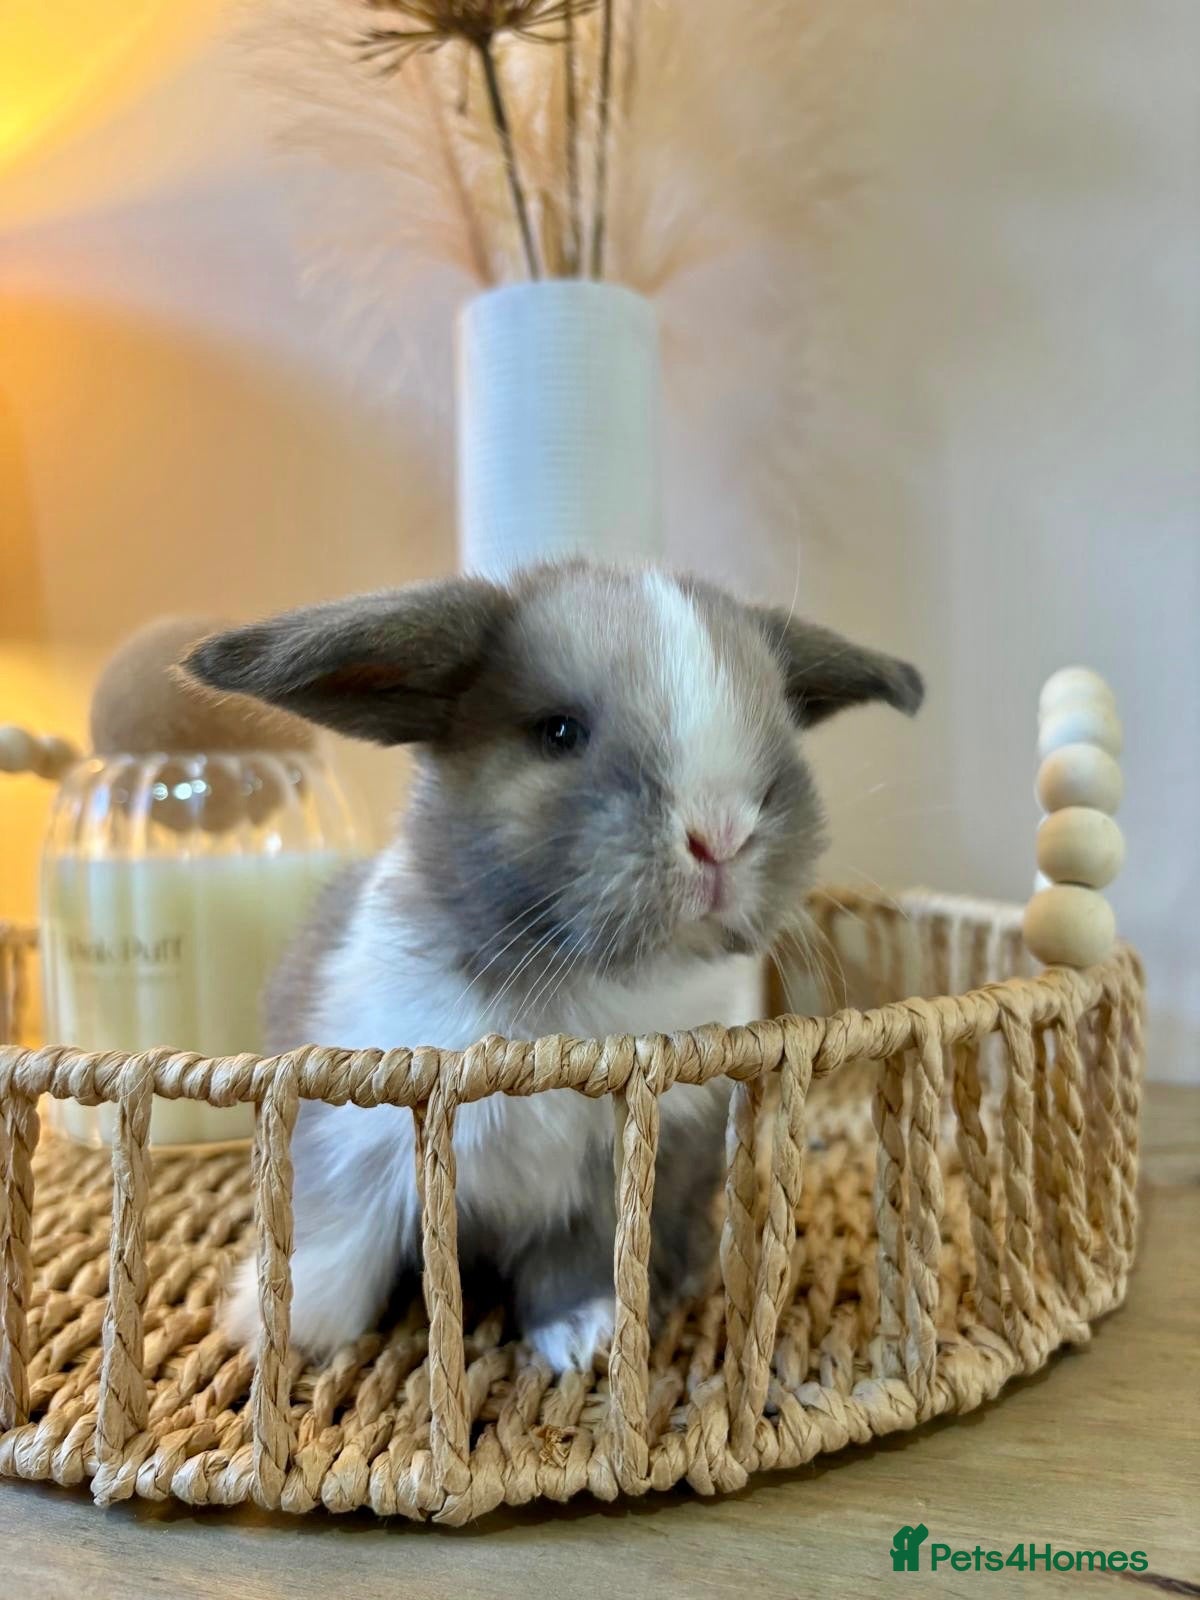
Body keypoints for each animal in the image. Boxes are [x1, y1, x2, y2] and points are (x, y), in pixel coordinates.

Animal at [183, 561, 923, 1371]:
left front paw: (584, 1338)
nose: (722, 835)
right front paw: (278, 1334)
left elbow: (584, 1258)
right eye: (559, 732)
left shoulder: (629, 1170)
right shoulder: (350, 1138)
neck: (583, 988)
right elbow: (341, 1242)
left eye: (780, 722)